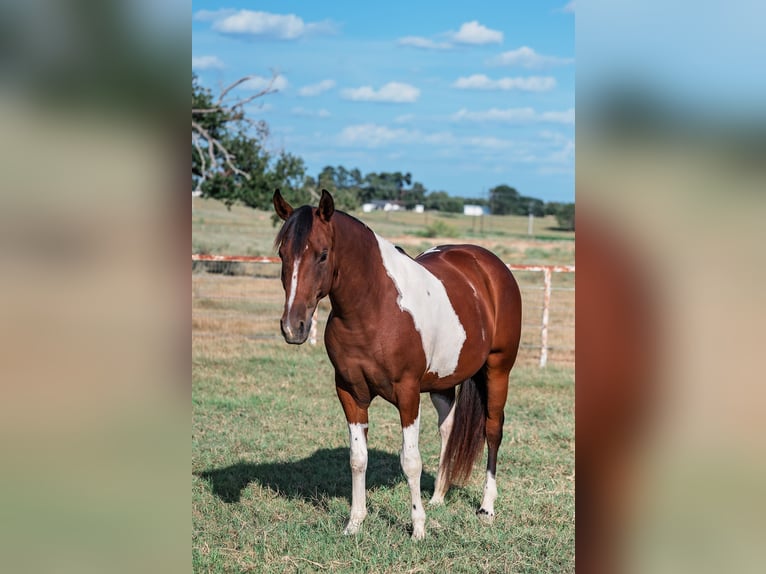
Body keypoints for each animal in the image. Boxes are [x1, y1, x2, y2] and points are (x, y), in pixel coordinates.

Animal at [272, 189, 522, 540]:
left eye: (322, 255)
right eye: (282, 254)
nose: (293, 327)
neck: (374, 307)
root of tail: (490, 266)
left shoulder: (407, 393)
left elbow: (411, 461)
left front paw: (418, 528)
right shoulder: (349, 392)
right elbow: (358, 458)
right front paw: (355, 523)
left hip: (498, 370)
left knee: (493, 430)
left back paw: (486, 508)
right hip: (443, 382)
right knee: (447, 429)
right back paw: (438, 497)